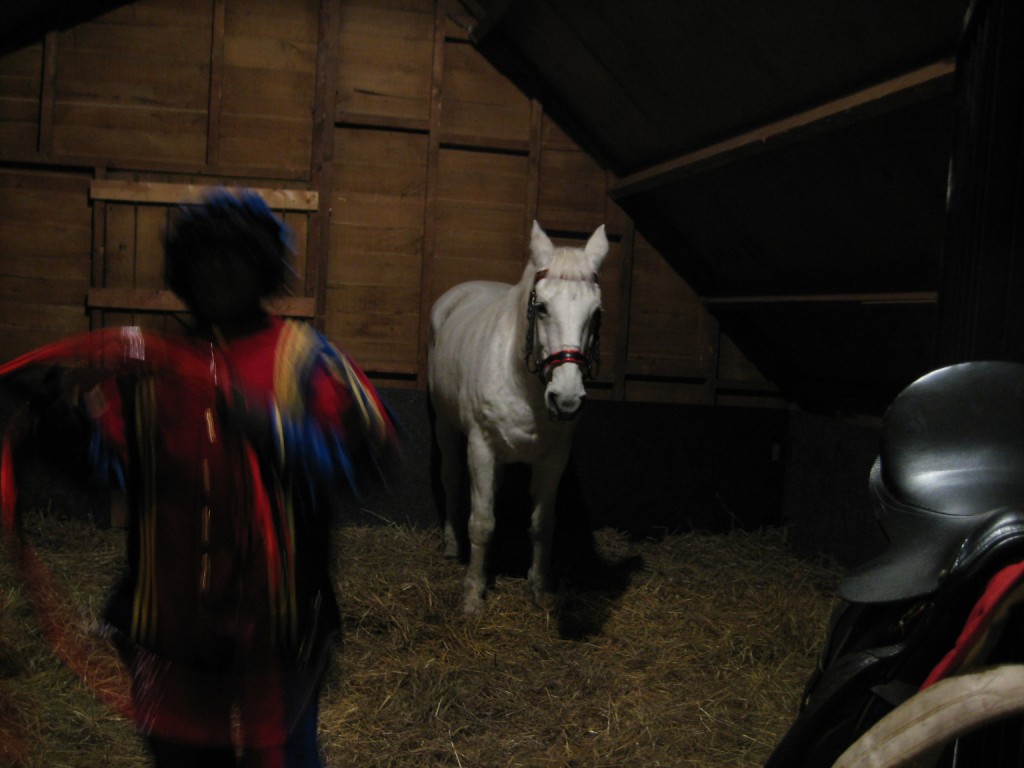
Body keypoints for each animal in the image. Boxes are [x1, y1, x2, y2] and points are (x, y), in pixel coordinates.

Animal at [425, 221, 602, 614]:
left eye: (595, 312)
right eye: (543, 308)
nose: (566, 400)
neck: (523, 383)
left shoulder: (554, 458)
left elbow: (542, 523)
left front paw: (539, 589)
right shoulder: (481, 448)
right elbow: (481, 522)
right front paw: (472, 596)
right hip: (446, 427)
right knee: (452, 479)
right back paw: (451, 546)